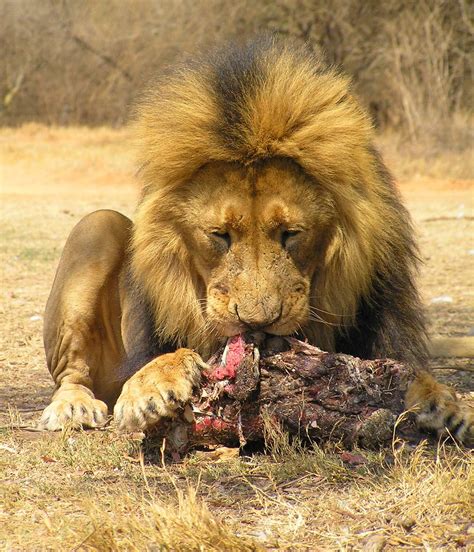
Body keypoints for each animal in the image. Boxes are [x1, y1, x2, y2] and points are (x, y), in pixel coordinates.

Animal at [39, 36, 472, 444]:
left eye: (291, 234)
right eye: (220, 235)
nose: (258, 322)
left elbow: (411, 374)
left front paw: (444, 404)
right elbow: (163, 357)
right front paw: (149, 388)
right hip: (96, 226)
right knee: (72, 373)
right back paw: (74, 406)